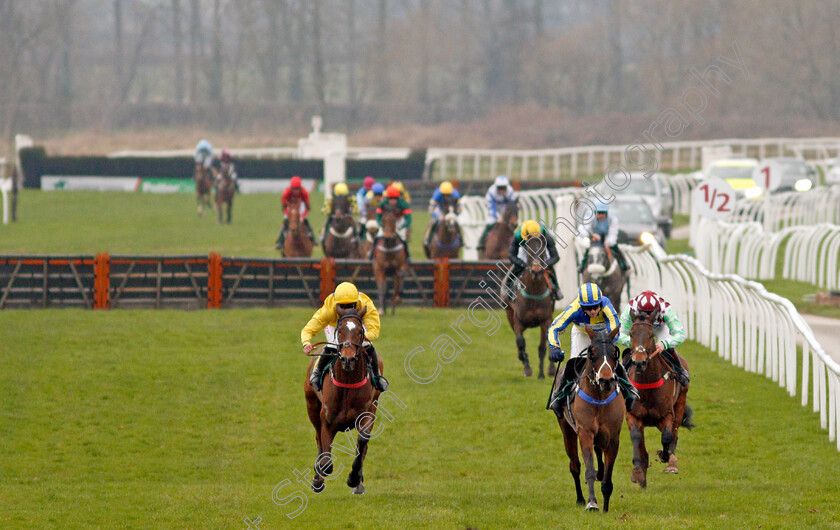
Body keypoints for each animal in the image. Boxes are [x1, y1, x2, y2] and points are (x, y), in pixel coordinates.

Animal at [304, 304, 382, 492]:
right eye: (340, 331)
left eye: (360, 331)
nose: (348, 358)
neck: (347, 383)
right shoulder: (327, 420)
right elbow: (325, 456)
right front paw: (318, 478)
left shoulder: (367, 413)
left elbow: (362, 441)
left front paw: (354, 478)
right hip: (311, 406)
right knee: (318, 437)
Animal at [502, 234, 556, 376]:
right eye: (529, 252)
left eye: (542, 252)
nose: (536, 271)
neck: (534, 293)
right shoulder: (518, 321)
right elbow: (520, 342)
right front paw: (527, 367)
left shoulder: (546, 320)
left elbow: (544, 346)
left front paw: (546, 371)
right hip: (509, 314)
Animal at [556, 324, 624, 510]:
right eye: (592, 352)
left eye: (614, 352)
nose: (606, 380)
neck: (599, 398)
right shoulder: (584, 432)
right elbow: (588, 469)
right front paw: (592, 503)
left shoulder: (613, 437)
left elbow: (607, 477)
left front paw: (606, 508)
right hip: (567, 431)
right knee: (575, 466)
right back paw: (580, 498)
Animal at [628, 310, 692, 486]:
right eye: (631, 333)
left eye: (650, 335)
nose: (639, 362)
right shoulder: (633, 415)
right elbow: (636, 438)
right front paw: (638, 471)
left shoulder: (667, 414)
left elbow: (667, 437)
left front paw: (664, 455)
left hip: (680, 402)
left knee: (674, 433)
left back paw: (671, 462)